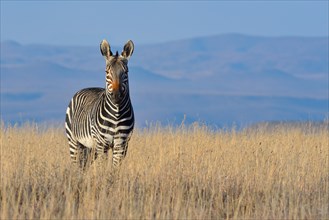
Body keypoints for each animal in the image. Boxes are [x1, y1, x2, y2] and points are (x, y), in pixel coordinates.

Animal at [64, 39, 134, 167]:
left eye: (126, 72)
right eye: (107, 71)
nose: (116, 95)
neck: (116, 114)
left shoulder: (122, 144)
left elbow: (115, 169)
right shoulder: (102, 144)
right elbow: (103, 168)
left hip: (90, 147)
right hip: (74, 142)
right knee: (76, 165)